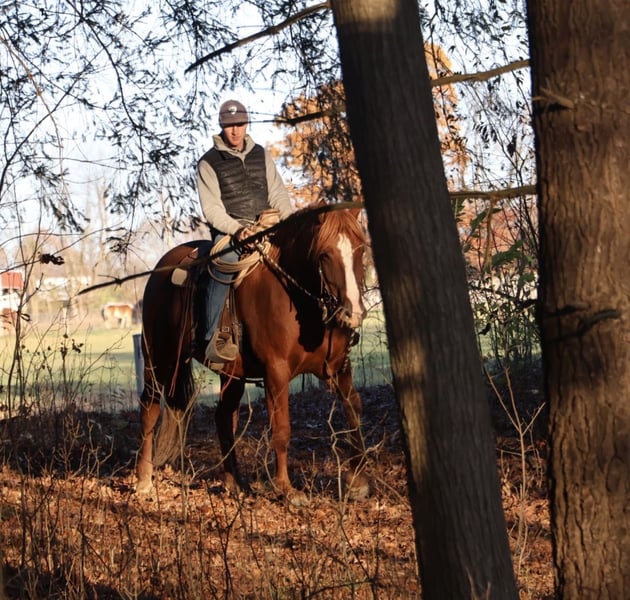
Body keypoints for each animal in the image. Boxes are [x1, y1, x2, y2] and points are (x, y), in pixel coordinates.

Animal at [136, 202, 370, 502]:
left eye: (360, 249)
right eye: (325, 255)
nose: (353, 313)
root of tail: (160, 270)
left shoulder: (340, 366)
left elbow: (354, 411)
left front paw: (358, 481)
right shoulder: (276, 372)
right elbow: (281, 428)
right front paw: (286, 488)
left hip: (231, 374)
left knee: (223, 418)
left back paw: (234, 482)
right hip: (159, 360)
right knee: (150, 409)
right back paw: (143, 481)